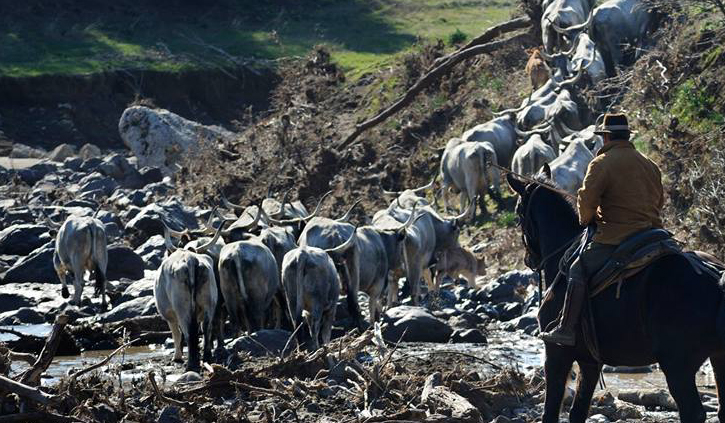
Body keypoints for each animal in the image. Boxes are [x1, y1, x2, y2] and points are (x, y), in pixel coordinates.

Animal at [506, 171, 724, 423]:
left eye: (518, 214)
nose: (529, 260)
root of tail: (716, 278)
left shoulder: (556, 354)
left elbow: (550, 411)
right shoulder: (590, 362)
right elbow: (578, 411)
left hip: (678, 365)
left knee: (693, 412)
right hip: (717, 358)